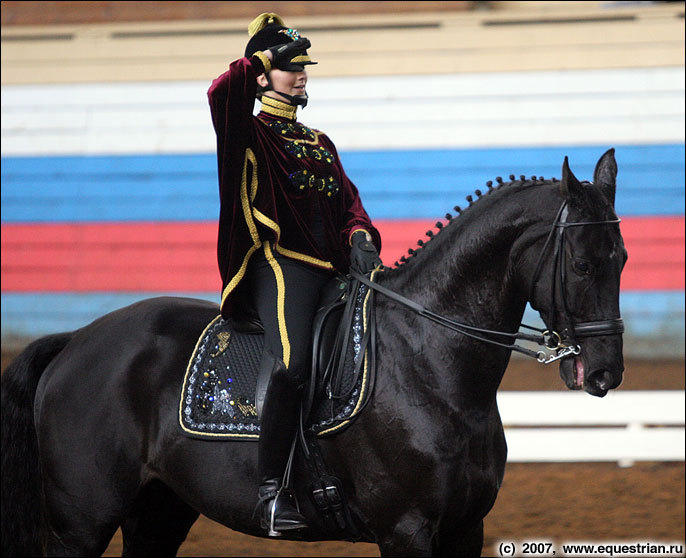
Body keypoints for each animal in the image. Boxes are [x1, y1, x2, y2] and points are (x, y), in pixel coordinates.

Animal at [0, 151, 628, 556]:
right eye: (581, 264)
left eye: (621, 259)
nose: (604, 372)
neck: (430, 364)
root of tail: (77, 341)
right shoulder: (407, 530)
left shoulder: (464, 530)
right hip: (81, 526)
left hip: (158, 511)